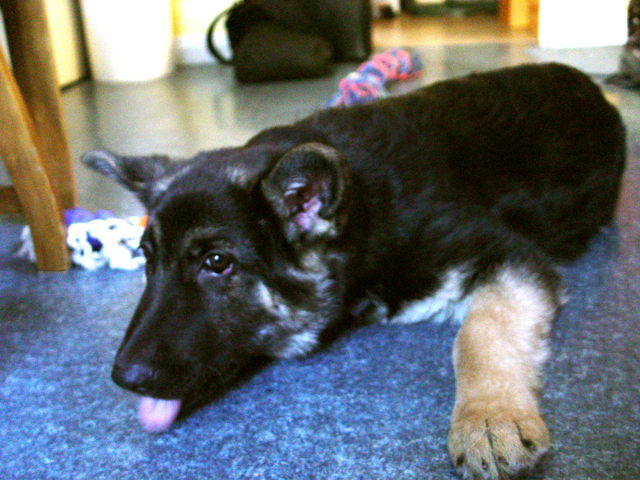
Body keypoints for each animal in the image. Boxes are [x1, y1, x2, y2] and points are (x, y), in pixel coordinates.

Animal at [84, 62, 624, 478]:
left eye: (217, 263)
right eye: (147, 257)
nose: (123, 378)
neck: (361, 213)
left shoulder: (506, 254)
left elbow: (479, 331)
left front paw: (488, 419)